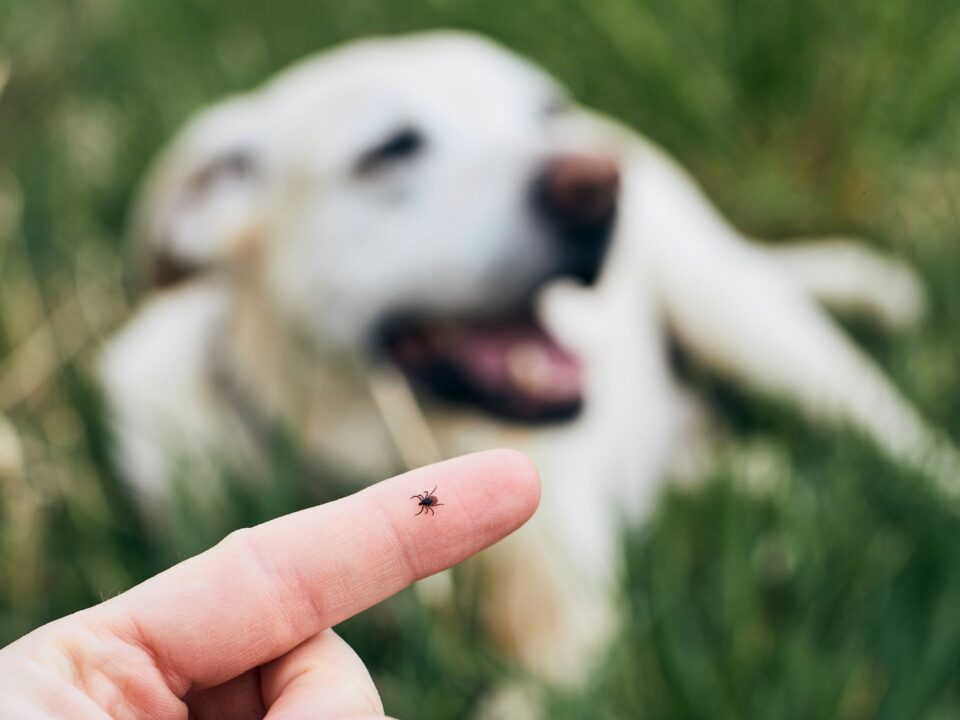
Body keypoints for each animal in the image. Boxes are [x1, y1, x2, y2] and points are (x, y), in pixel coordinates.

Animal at [99, 32, 960, 692]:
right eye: (389, 150)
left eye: (544, 110)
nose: (596, 183)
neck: (372, 447)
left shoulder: (568, 637)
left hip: (744, 321)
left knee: (898, 439)